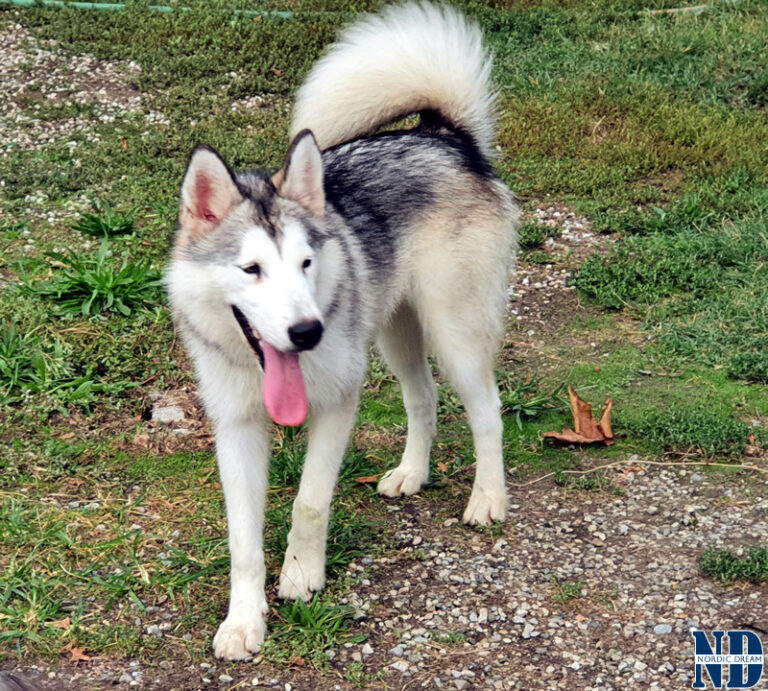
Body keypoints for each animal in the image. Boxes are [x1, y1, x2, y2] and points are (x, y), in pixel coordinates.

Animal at [166, 1, 520, 660]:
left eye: (306, 262)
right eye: (251, 270)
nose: (307, 332)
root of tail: (442, 136)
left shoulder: (337, 406)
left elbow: (309, 502)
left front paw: (302, 576)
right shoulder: (236, 430)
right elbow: (243, 541)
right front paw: (244, 620)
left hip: (454, 334)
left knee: (487, 410)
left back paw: (488, 498)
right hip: (394, 335)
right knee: (423, 398)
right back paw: (412, 473)